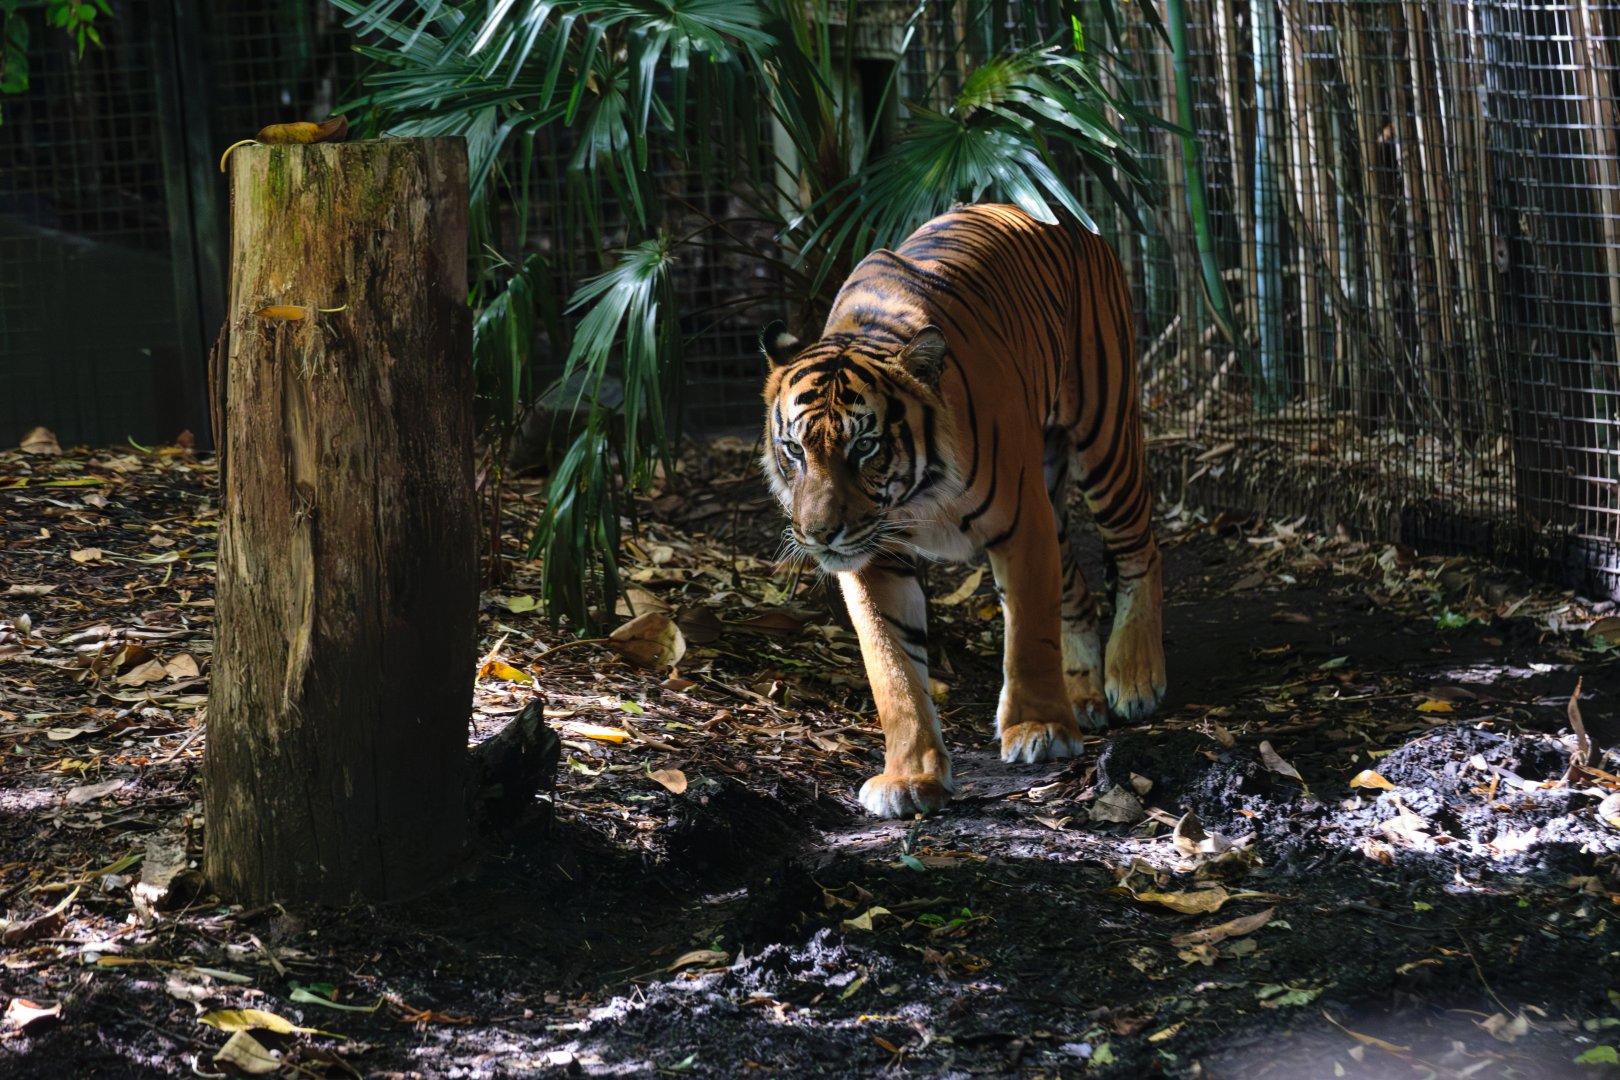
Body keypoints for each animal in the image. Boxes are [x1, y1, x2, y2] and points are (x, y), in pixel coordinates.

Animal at [760, 203, 1165, 818]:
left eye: (865, 447)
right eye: (795, 450)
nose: (819, 534)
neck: (914, 497)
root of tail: (1057, 211)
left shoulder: (1023, 523)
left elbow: (1028, 636)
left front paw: (1039, 730)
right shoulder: (874, 557)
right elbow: (893, 670)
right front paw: (909, 776)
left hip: (1105, 433)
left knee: (1139, 545)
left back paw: (1136, 677)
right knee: (1074, 582)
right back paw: (1082, 693)